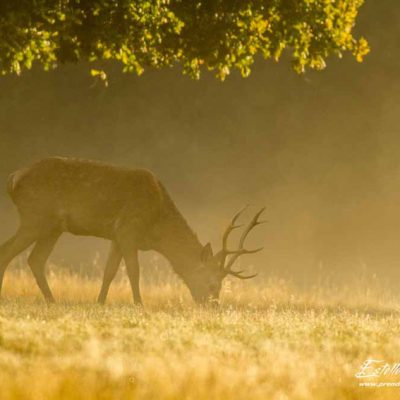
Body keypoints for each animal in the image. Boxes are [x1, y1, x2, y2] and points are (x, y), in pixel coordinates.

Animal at [0, 158, 266, 304]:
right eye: (211, 283)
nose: (213, 305)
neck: (157, 229)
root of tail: (14, 177)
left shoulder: (117, 236)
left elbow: (109, 271)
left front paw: (100, 302)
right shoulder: (129, 230)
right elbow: (133, 271)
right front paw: (140, 304)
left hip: (52, 226)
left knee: (35, 259)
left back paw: (53, 301)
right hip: (35, 217)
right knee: (7, 250)